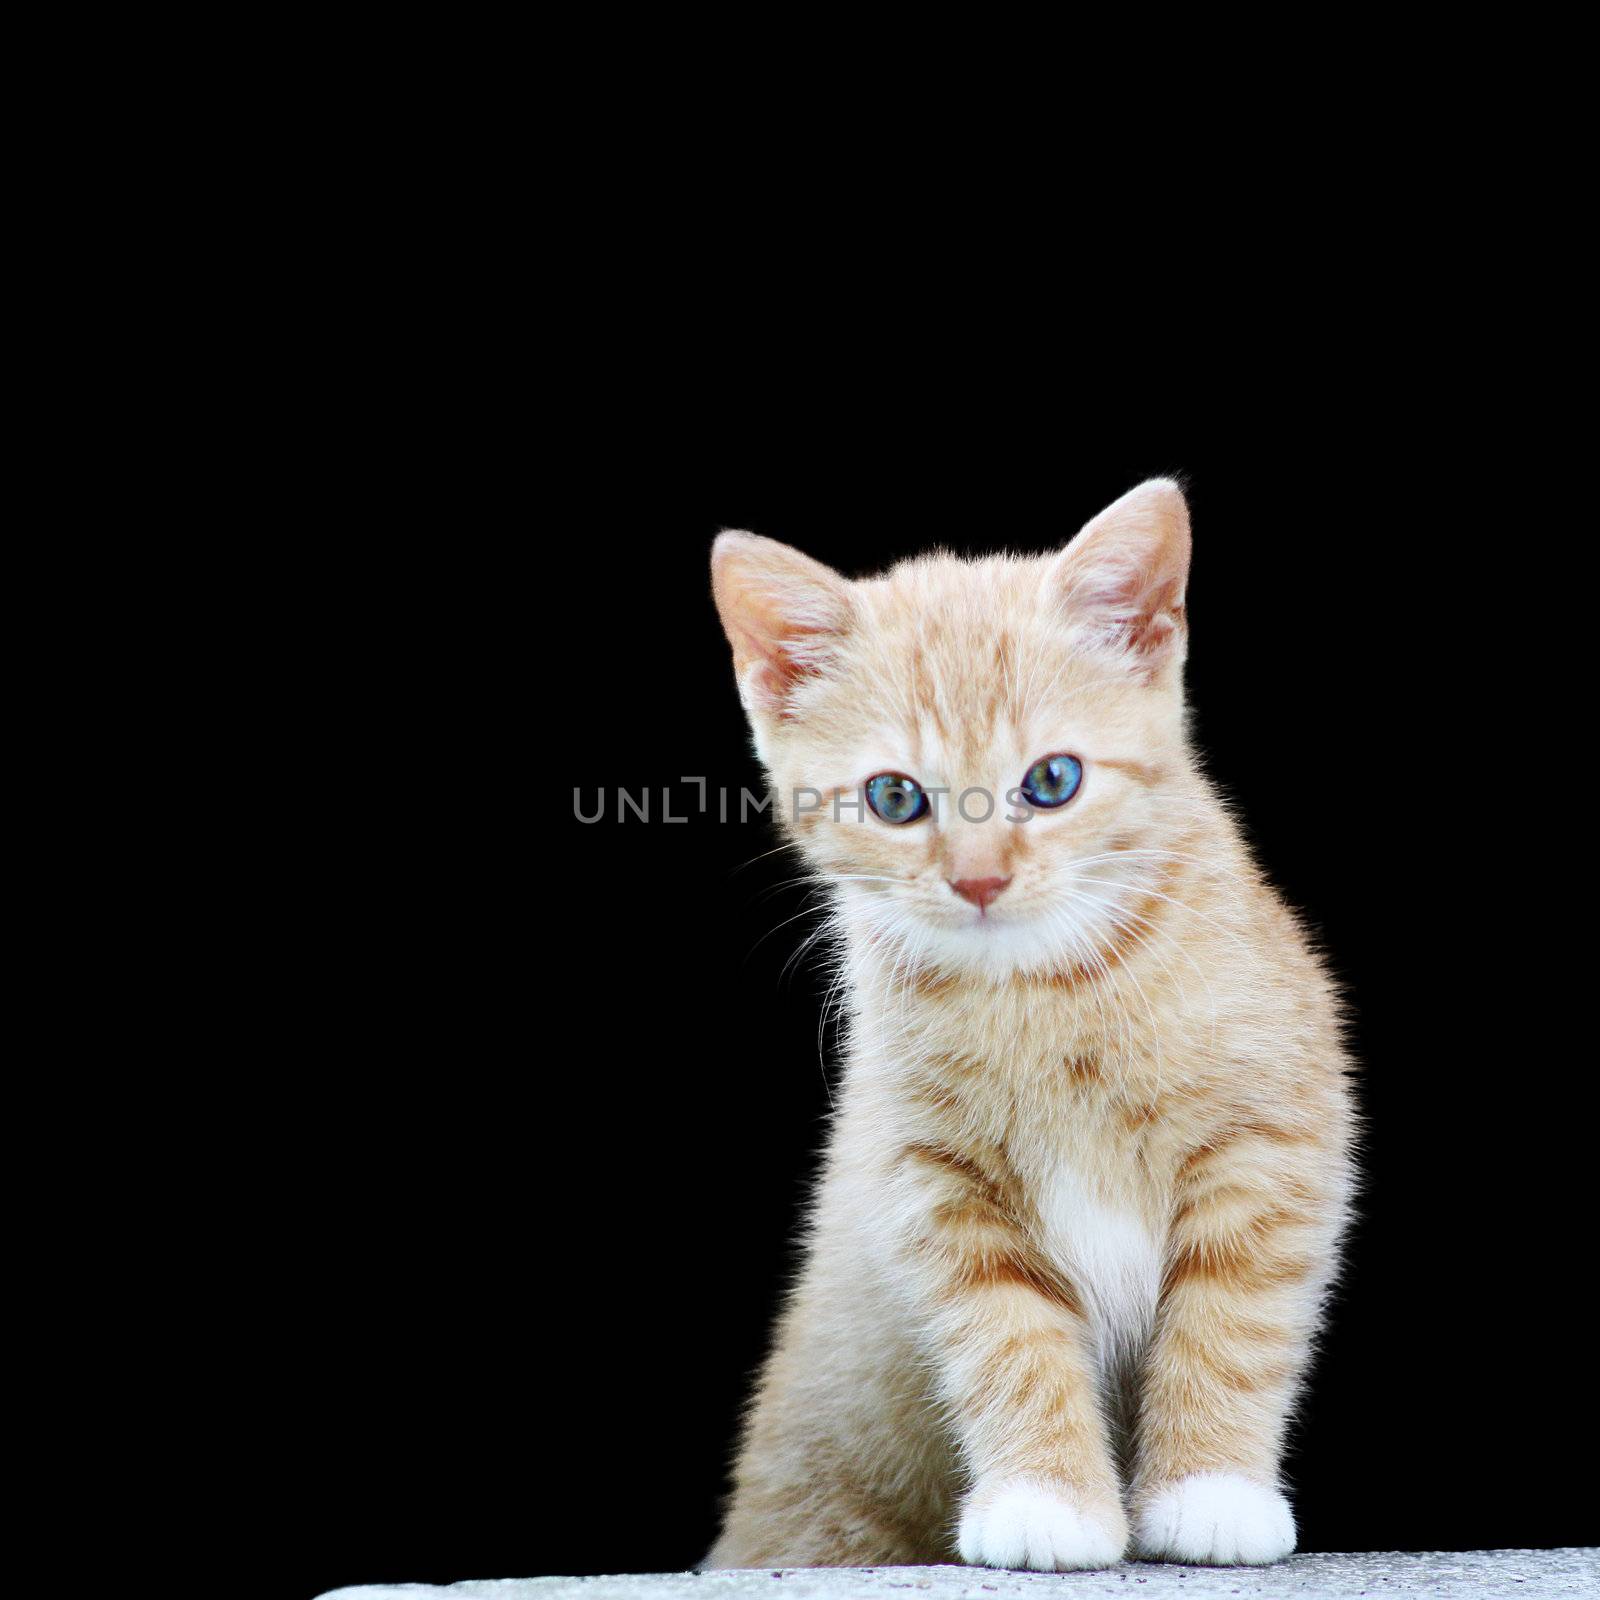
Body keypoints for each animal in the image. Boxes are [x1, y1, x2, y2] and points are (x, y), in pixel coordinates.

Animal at [707, 480, 1356, 1568]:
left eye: (1051, 781)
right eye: (895, 796)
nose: (978, 879)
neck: (1043, 993)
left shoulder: (1267, 1144)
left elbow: (1230, 1321)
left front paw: (1210, 1491)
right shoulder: (934, 1186)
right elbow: (1005, 1340)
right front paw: (1046, 1501)